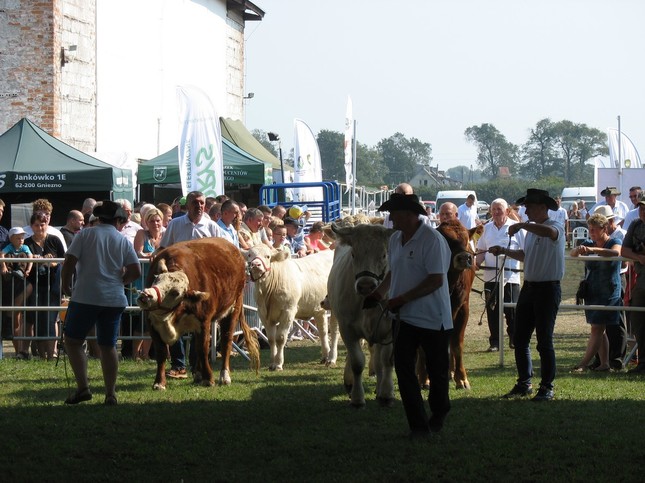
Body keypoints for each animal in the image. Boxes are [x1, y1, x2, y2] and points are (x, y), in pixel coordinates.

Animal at [137, 237, 260, 390]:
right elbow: (161, 352)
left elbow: (203, 349)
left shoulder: (204, 321)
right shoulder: (152, 324)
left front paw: (208, 378)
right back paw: (198, 374)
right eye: (156, 280)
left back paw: (224, 376)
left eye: (175, 292)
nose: (145, 296)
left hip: (233, 309)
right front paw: (159, 382)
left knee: (226, 342)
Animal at [327, 223, 395, 408]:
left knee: (378, 361)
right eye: (353, 254)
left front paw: (386, 393)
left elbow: (386, 360)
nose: (365, 285)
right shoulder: (347, 329)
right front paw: (357, 398)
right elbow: (357, 362)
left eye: (384, 254)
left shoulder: (390, 329)